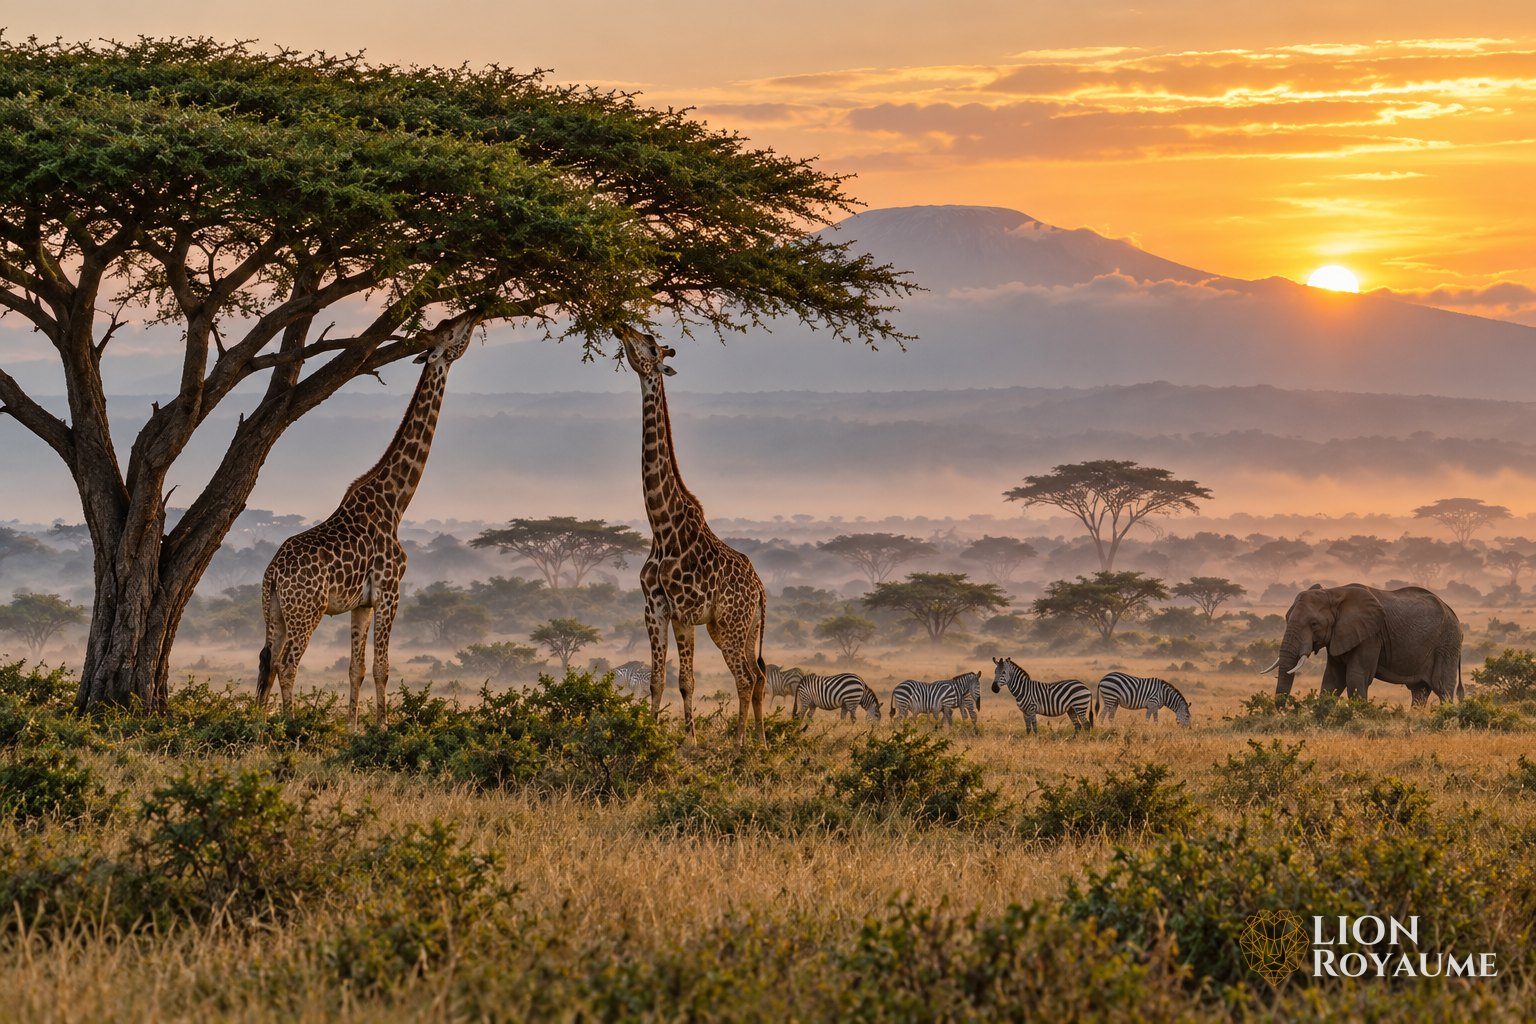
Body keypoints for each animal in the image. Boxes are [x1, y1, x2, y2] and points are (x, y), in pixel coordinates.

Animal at [1263, 584, 1462, 706]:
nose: (1282, 711)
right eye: (1286, 617)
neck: (1333, 593)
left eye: (1314, 624)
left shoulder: (1371, 636)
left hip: (1447, 644)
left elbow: (1356, 677)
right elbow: (1332, 678)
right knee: (1420, 691)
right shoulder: (1339, 636)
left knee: (1442, 687)